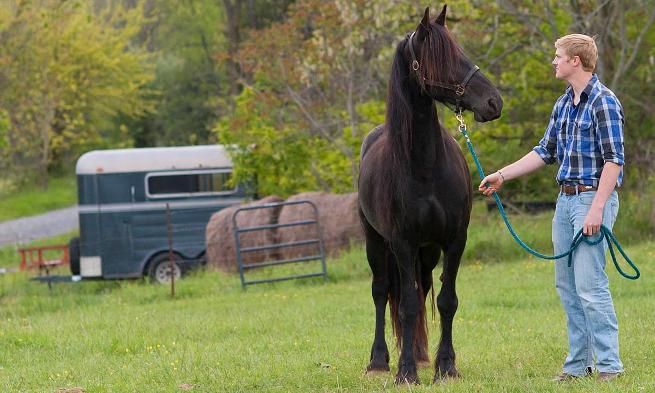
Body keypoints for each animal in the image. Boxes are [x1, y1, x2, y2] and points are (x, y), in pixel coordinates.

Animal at [358, 5, 502, 382]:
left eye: (461, 50)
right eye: (441, 58)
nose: (493, 101)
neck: (424, 165)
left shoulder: (453, 239)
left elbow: (446, 300)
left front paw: (445, 366)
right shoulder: (402, 242)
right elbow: (405, 304)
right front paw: (406, 372)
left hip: (427, 251)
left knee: (421, 289)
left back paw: (421, 354)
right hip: (377, 243)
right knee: (382, 292)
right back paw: (379, 361)